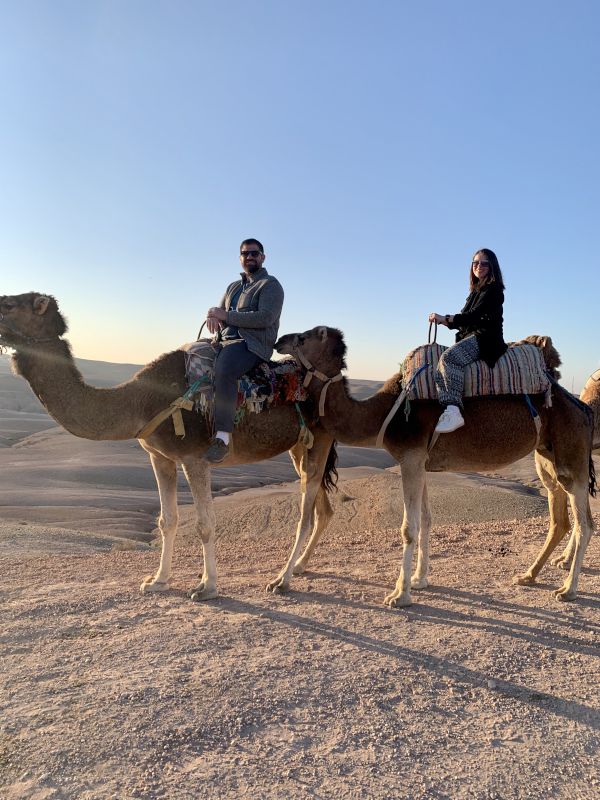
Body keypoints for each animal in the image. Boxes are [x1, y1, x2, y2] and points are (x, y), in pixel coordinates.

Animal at [0, 294, 338, 600]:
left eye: (8, 304)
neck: (142, 401)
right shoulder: (160, 456)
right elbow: (167, 520)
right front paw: (157, 580)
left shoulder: (194, 457)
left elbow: (205, 523)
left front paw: (207, 587)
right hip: (300, 446)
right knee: (323, 507)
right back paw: (298, 568)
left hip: (320, 438)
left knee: (306, 513)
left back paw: (282, 580)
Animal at [276, 324, 596, 608]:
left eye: (303, 338)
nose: (280, 340)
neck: (385, 414)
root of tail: (582, 408)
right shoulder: (421, 462)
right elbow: (427, 520)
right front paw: (419, 580)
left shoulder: (410, 458)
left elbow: (409, 527)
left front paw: (400, 595)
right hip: (549, 454)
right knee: (564, 519)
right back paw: (529, 576)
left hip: (571, 455)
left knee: (585, 524)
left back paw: (568, 589)